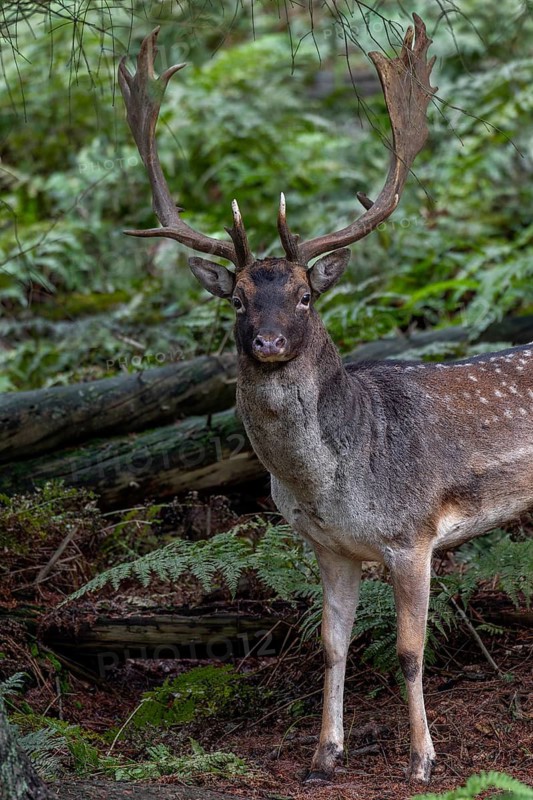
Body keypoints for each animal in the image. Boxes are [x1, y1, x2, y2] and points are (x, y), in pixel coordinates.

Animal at [118, 16, 533, 784]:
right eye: (238, 299)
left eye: (306, 295)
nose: (270, 341)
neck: (331, 482)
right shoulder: (328, 548)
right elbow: (331, 645)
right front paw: (323, 755)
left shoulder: (412, 535)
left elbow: (408, 652)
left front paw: (421, 759)